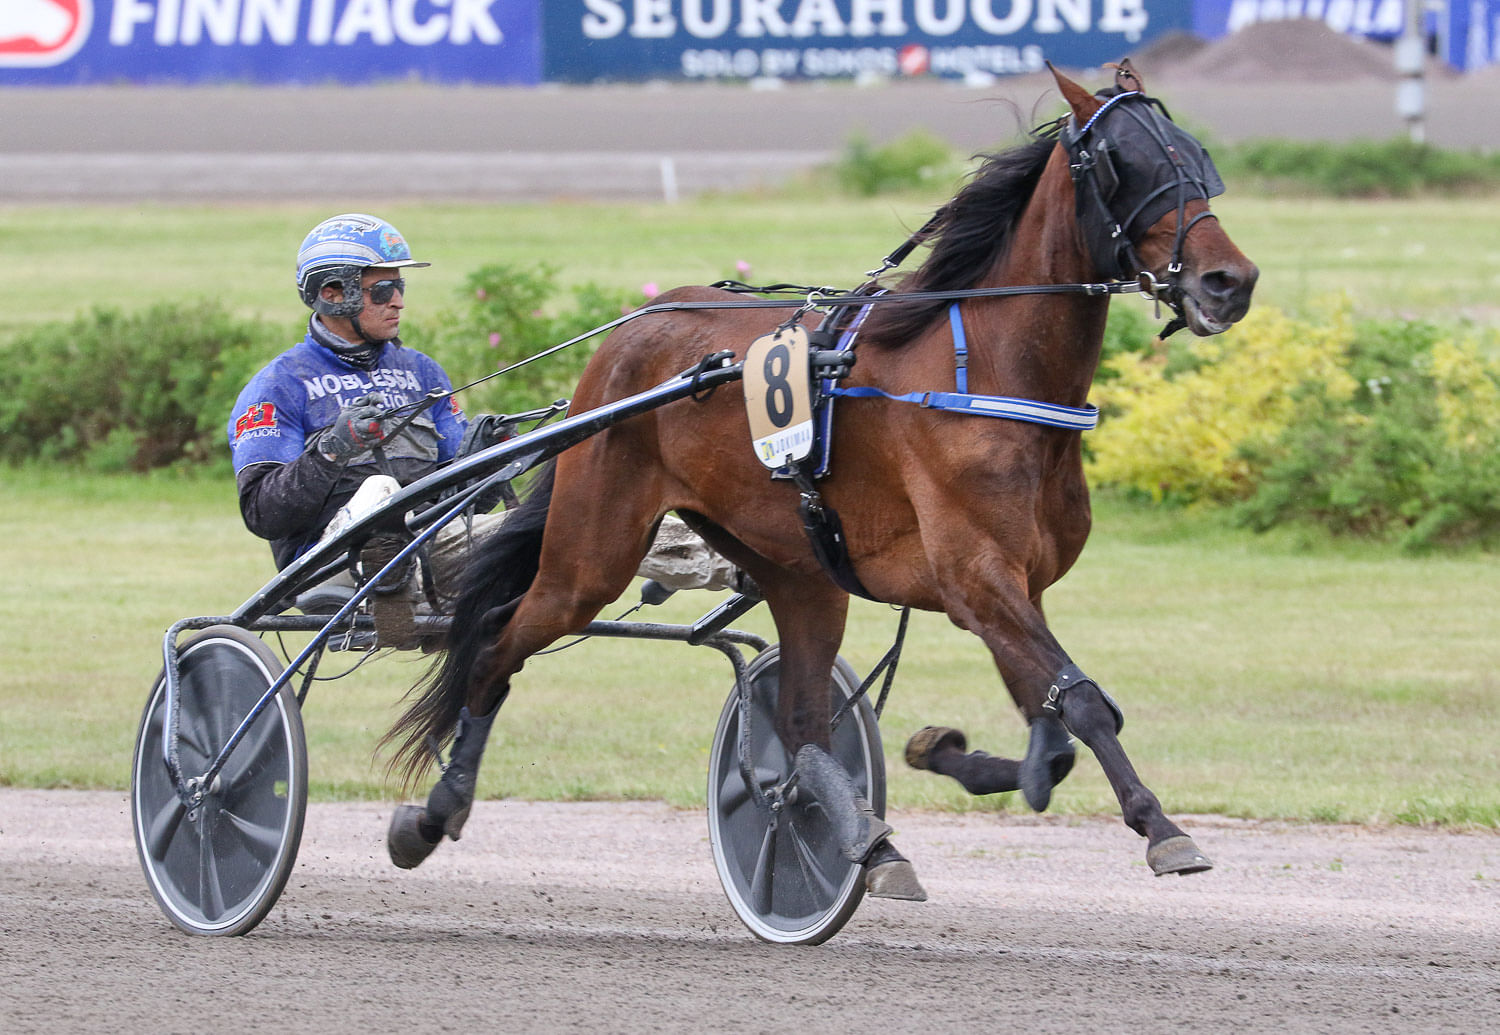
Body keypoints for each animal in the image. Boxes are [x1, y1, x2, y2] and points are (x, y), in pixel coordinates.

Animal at [384, 60, 1254, 888]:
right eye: (1124, 163)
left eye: (1196, 158)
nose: (1229, 281)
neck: (988, 373)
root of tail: (626, 338)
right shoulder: (976, 577)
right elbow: (1082, 702)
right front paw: (1162, 828)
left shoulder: (1016, 587)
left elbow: (1054, 732)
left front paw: (948, 752)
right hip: (589, 554)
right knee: (496, 645)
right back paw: (433, 812)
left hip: (801, 571)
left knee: (802, 723)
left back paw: (865, 840)